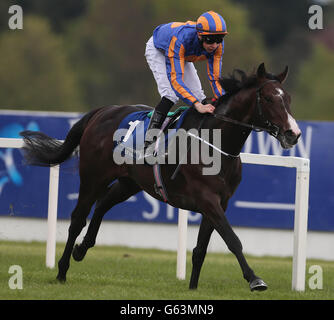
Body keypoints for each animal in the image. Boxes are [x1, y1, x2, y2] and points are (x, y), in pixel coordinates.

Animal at [20, 63, 302, 292]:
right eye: (269, 98)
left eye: (288, 98)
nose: (294, 133)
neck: (216, 144)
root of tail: (102, 112)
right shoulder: (207, 199)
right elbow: (233, 240)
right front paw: (255, 279)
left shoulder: (220, 202)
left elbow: (201, 248)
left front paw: (193, 287)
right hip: (93, 177)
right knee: (78, 219)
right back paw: (61, 270)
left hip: (129, 183)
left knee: (103, 204)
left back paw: (82, 249)